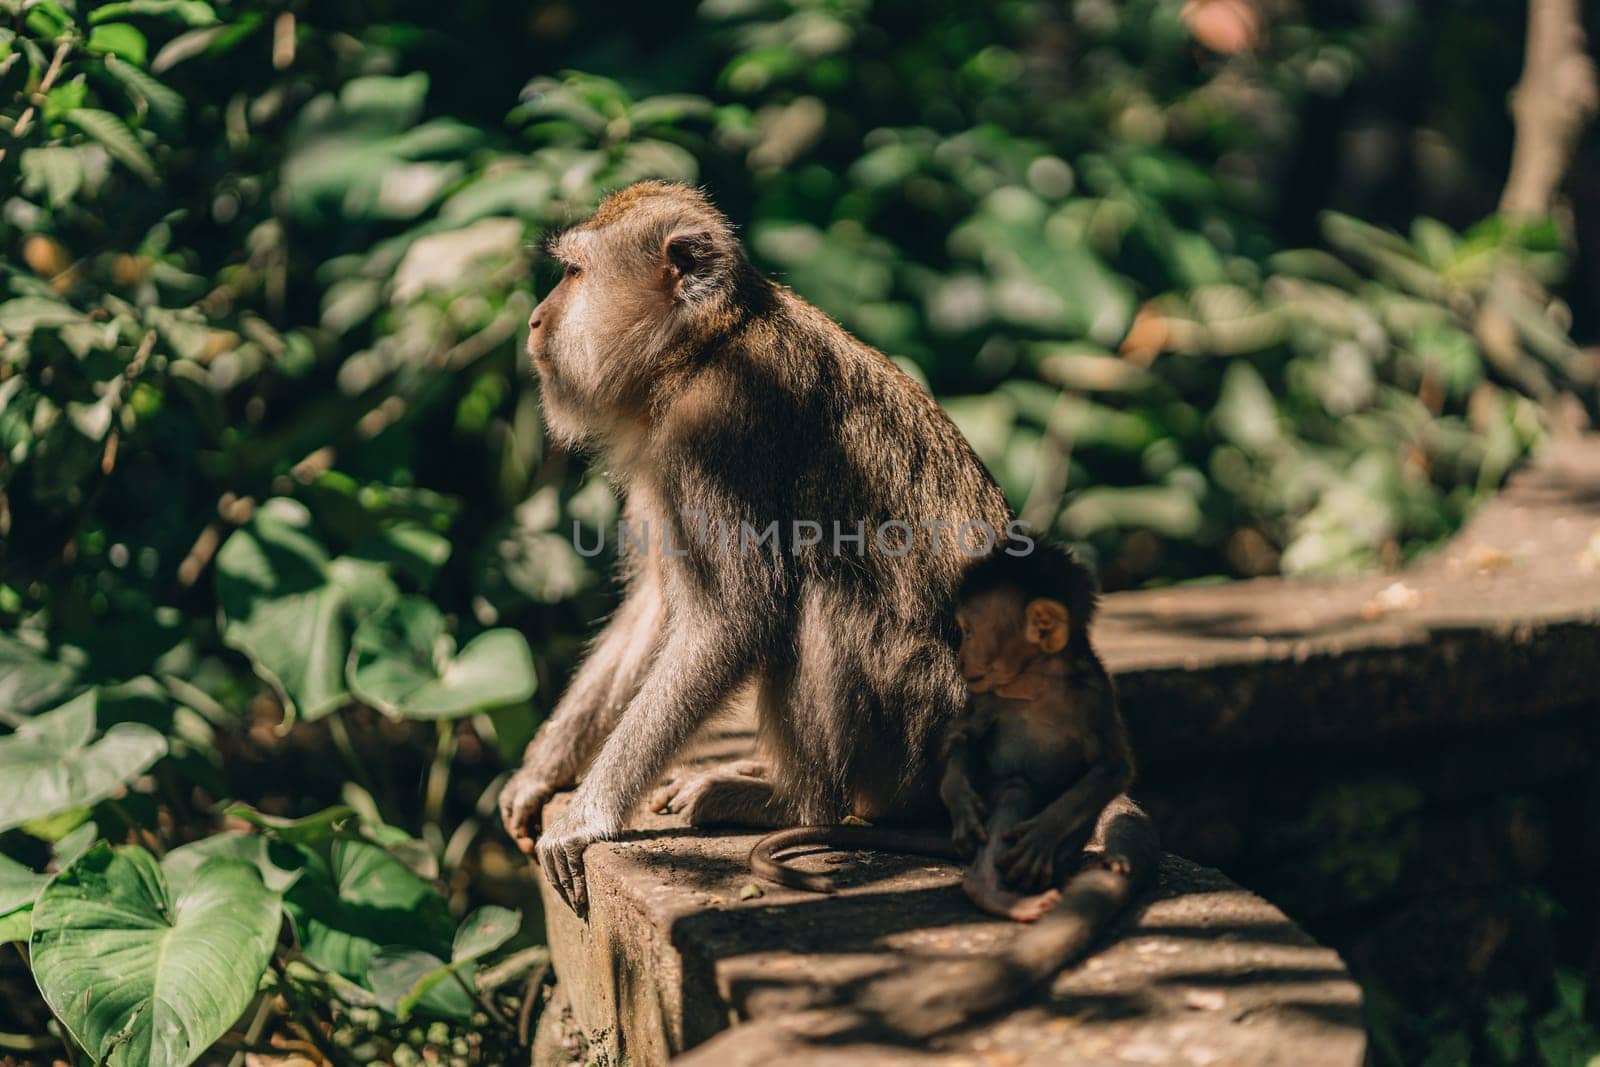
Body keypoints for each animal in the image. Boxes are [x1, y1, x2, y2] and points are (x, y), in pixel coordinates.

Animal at [496, 179, 1011, 915]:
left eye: (572, 273)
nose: (537, 321)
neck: (701, 346)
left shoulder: (717, 426)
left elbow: (735, 617)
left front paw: (586, 816)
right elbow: (656, 608)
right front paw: (542, 770)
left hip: (922, 736)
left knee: (820, 591)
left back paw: (798, 806)